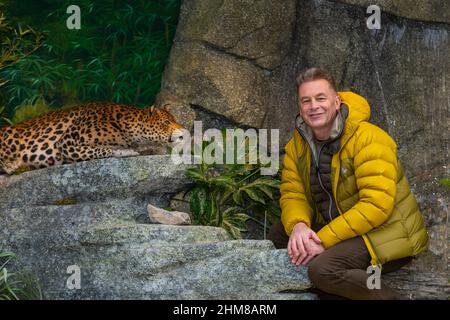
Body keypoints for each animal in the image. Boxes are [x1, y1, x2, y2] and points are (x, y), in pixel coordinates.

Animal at [0, 101, 185, 174]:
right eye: (167, 122)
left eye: (175, 120)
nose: (183, 131)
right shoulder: (67, 144)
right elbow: (102, 149)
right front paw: (125, 151)